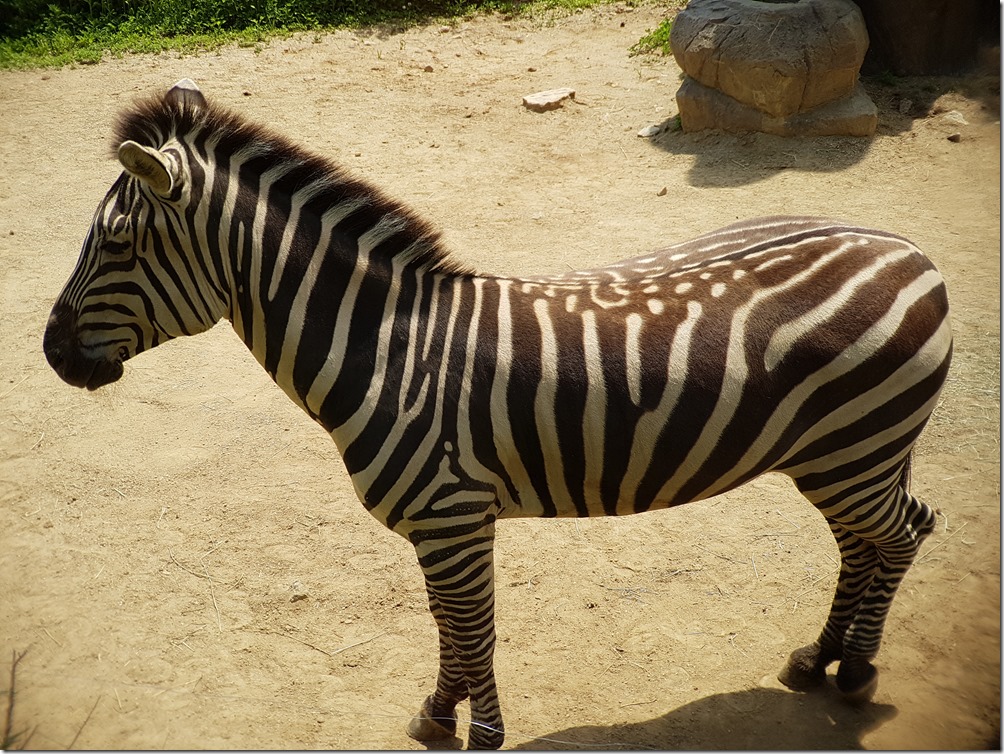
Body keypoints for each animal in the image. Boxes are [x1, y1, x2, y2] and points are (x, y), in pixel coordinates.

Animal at [43, 80, 952, 749]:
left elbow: (473, 627)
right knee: (873, 541)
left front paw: (481, 733)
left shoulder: (453, 515)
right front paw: (437, 713)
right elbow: (448, 624)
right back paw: (818, 658)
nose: (51, 354)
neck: (388, 348)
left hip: (857, 450)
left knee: (904, 533)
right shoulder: (435, 524)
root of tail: (907, 249)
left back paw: (857, 670)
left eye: (115, 242)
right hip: (842, 454)